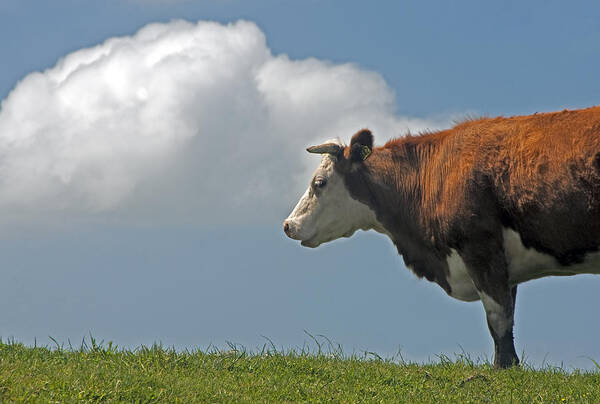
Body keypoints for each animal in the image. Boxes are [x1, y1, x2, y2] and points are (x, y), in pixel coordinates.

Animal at [284, 105, 600, 368]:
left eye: (319, 183)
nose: (289, 225)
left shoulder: (480, 248)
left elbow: (498, 318)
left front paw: (503, 369)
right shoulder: (505, 265)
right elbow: (507, 316)